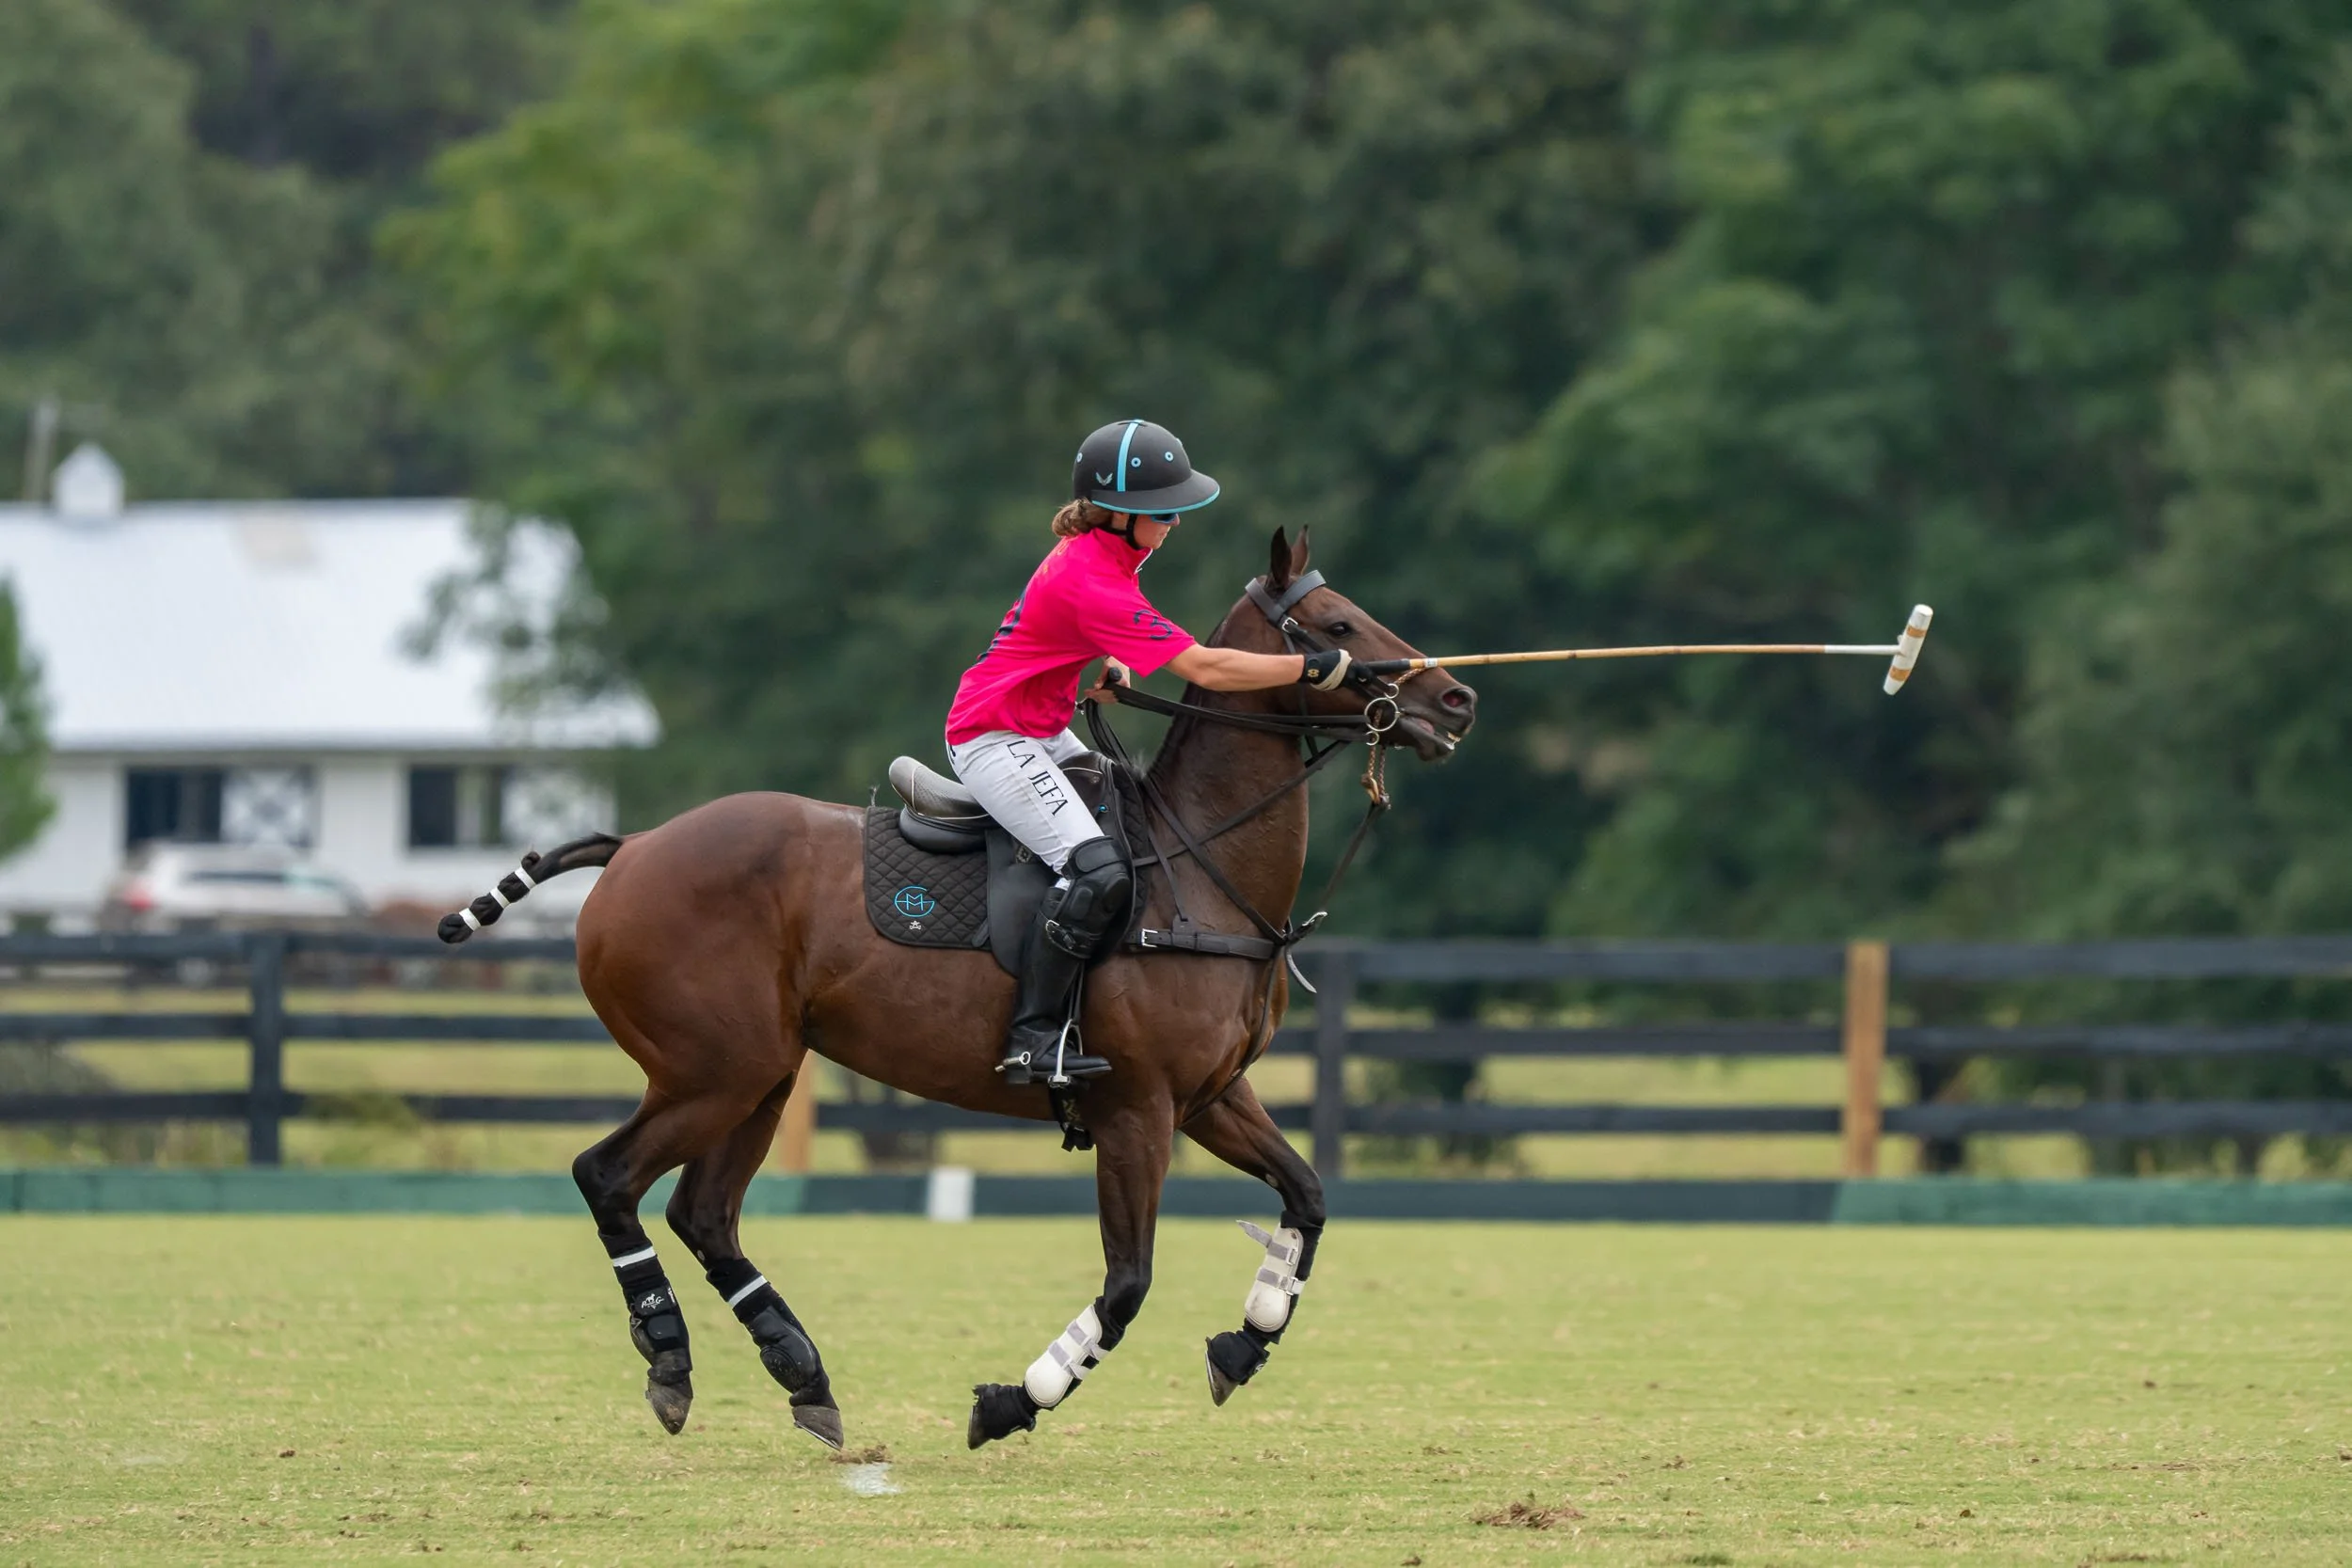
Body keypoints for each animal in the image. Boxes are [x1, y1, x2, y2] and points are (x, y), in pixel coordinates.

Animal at [438, 527, 1477, 1449]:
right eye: (1337, 624)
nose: (1458, 699)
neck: (1199, 862)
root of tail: (635, 844)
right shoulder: (1137, 1105)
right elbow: (1128, 1282)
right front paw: (1014, 1399)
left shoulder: (1212, 1094)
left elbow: (1307, 1194)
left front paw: (1244, 1341)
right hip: (711, 1069)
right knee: (607, 1174)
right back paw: (671, 1358)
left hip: (760, 1072)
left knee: (704, 1211)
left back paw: (802, 1372)